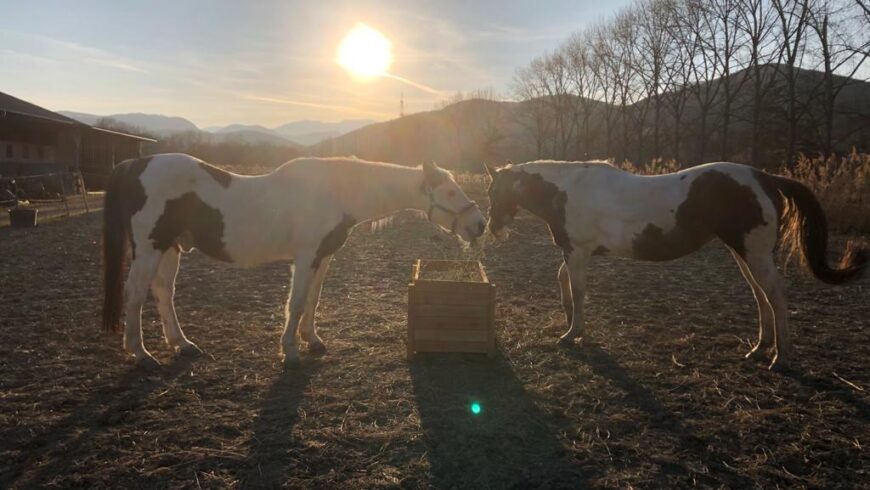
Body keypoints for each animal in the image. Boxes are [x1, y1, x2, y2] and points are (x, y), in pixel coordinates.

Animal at [104, 153, 488, 368]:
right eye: (450, 191)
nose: (479, 224)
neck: (336, 193)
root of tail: (134, 164)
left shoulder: (323, 257)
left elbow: (313, 301)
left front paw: (312, 340)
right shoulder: (304, 257)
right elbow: (297, 301)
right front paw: (289, 351)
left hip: (170, 248)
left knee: (163, 293)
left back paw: (182, 345)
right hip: (150, 248)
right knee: (136, 294)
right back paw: (141, 354)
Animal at [488, 159, 868, 370]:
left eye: (494, 192)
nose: (492, 228)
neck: (567, 191)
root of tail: (765, 178)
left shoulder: (577, 252)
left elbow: (577, 291)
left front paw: (573, 333)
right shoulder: (574, 254)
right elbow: (564, 283)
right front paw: (571, 325)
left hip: (755, 254)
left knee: (775, 296)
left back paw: (781, 356)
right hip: (744, 254)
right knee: (761, 296)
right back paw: (760, 348)